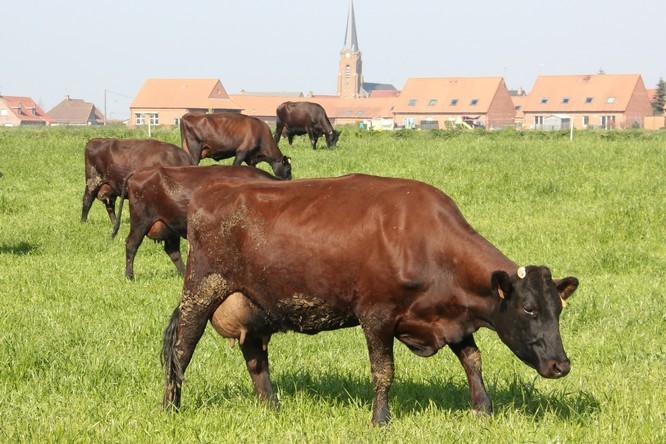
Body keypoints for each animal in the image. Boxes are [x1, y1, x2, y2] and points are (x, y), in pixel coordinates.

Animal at [111, 165, 280, 280]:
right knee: (131, 245)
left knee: (172, 251)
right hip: (141, 221)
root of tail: (140, 172)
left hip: (169, 226)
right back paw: (129, 276)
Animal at [162, 174, 579, 425]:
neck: (425, 241)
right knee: (181, 351)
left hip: (254, 306)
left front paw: (483, 409)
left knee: (255, 359)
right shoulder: (376, 314)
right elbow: (384, 372)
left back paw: (273, 408)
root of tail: (212, 190)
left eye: (558, 309)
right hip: (201, 289)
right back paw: (170, 407)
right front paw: (380, 420)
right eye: (529, 308)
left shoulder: (452, 317)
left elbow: (472, 360)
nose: (560, 365)